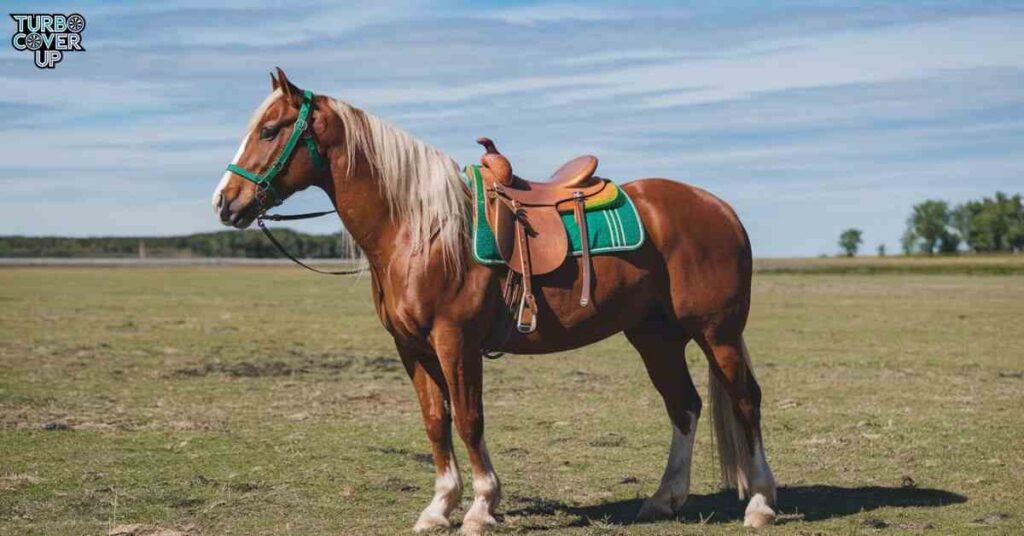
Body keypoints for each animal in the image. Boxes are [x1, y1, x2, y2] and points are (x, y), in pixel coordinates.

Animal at [214, 69, 774, 532]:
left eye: (270, 130)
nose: (225, 202)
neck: (419, 229)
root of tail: (719, 208)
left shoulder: (454, 341)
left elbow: (468, 419)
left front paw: (482, 507)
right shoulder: (411, 348)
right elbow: (435, 421)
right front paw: (439, 507)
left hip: (717, 333)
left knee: (746, 400)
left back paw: (760, 503)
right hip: (655, 336)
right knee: (684, 405)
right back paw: (664, 499)